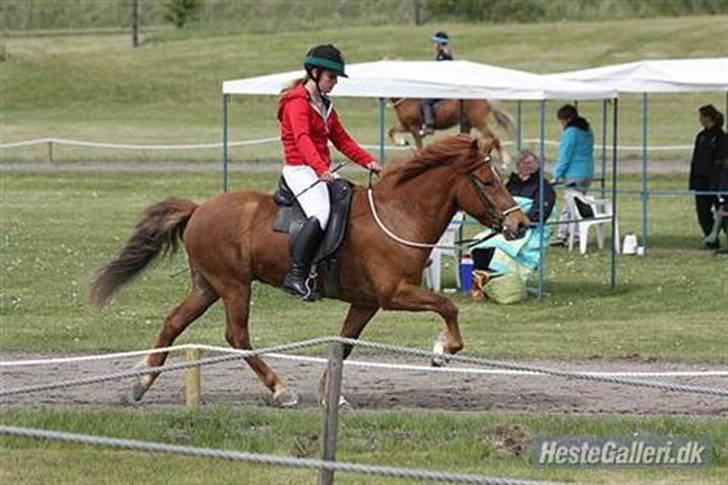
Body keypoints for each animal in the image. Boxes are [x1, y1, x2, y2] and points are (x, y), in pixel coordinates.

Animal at [89, 134, 528, 406]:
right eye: (488, 181)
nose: (521, 225)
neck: (399, 214)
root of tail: (199, 208)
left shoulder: (367, 302)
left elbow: (344, 344)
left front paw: (330, 393)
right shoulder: (394, 293)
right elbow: (448, 307)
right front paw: (441, 352)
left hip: (208, 286)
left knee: (173, 322)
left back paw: (141, 384)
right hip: (233, 285)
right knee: (237, 336)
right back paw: (280, 389)